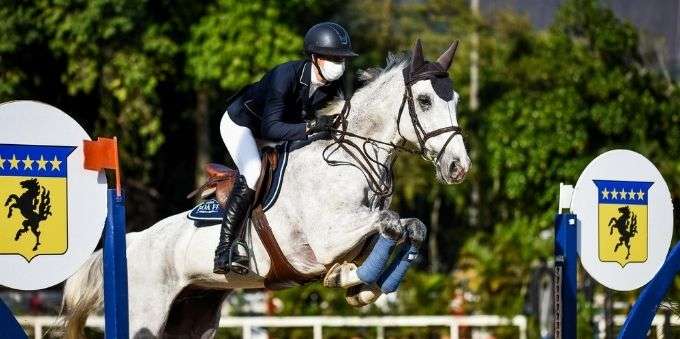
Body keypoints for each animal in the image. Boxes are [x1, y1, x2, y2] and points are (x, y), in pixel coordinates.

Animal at [61, 38, 470, 338]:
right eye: (424, 100)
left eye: (455, 99)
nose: (458, 167)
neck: (349, 159)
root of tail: (134, 241)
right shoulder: (328, 239)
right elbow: (391, 222)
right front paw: (351, 280)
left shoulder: (355, 233)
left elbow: (411, 227)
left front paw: (356, 284)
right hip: (145, 314)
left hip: (192, 315)